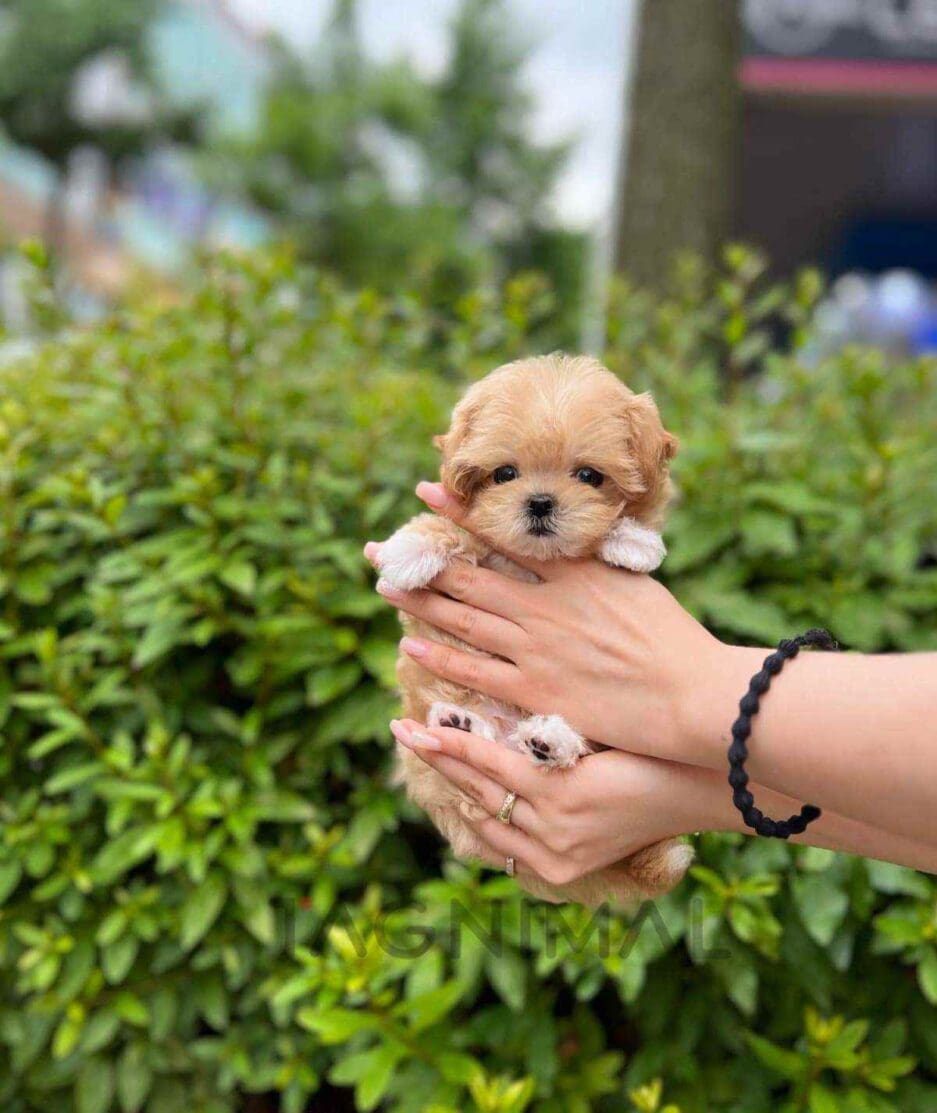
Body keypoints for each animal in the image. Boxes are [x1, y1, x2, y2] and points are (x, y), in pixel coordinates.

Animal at [376, 356, 689, 903]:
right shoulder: (473, 541)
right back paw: (460, 724)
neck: (535, 563)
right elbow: (449, 527)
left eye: (589, 476)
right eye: (504, 474)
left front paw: (631, 540)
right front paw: (408, 549)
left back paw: (547, 741)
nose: (540, 502)